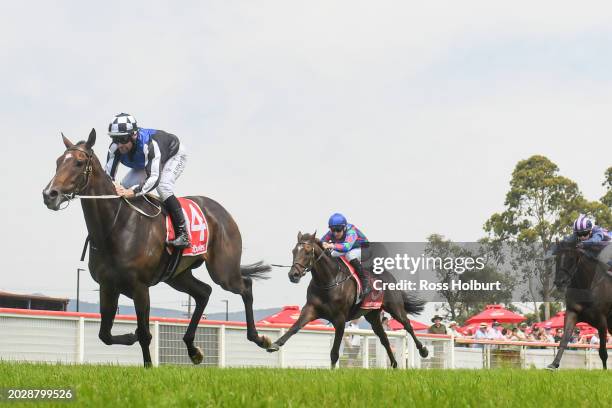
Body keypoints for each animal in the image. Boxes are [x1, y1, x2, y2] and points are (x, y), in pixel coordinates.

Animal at [41, 128, 272, 366]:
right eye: (58, 161)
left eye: (78, 163)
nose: (49, 194)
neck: (115, 225)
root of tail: (222, 212)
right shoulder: (108, 286)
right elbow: (105, 334)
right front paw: (130, 336)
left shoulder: (140, 287)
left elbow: (145, 334)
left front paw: (148, 365)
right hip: (177, 275)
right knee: (203, 293)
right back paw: (193, 349)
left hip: (223, 271)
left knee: (245, 286)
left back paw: (261, 339)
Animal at [266, 233, 428, 370]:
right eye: (293, 251)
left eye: (307, 251)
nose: (293, 275)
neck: (329, 281)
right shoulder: (311, 310)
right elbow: (295, 327)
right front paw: (274, 344)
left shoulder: (340, 319)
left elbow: (334, 352)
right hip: (373, 316)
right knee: (384, 339)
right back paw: (394, 364)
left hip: (395, 307)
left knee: (408, 325)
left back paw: (423, 350)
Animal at [548, 239, 608, 370]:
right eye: (557, 258)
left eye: (571, 258)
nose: (559, 282)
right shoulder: (572, 312)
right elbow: (564, 339)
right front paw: (554, 364)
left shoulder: (602, 320)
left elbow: (603, 352)